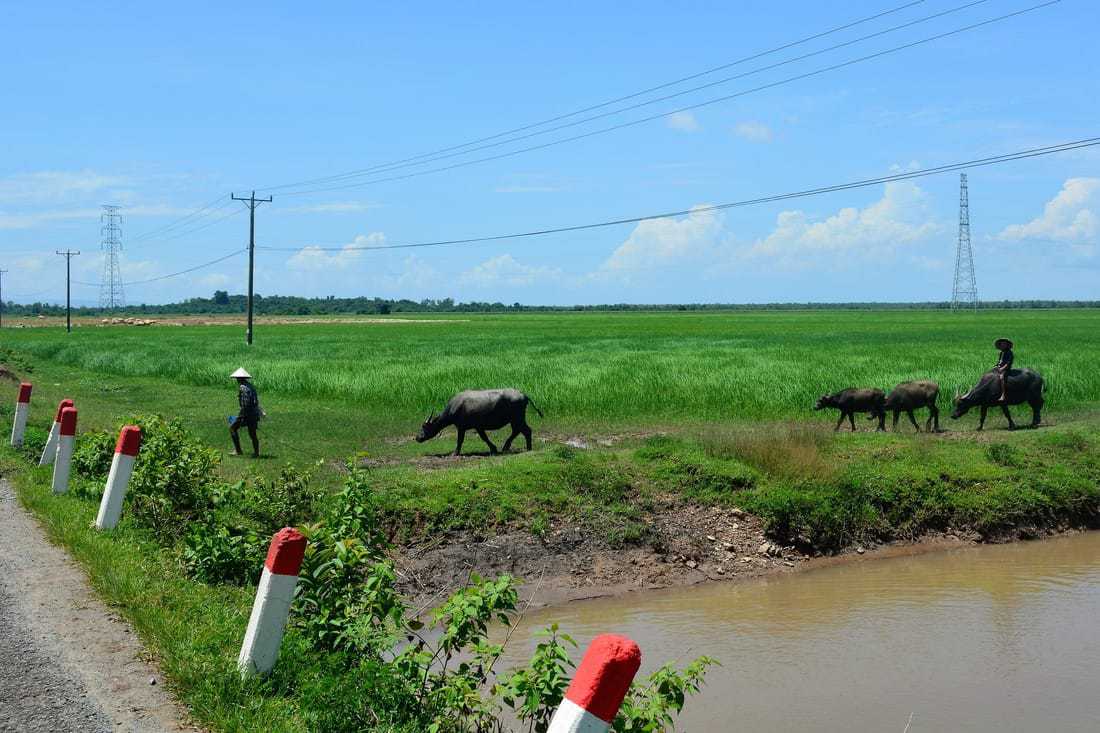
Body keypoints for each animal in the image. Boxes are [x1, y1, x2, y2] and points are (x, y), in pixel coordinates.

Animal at [415, 385, 545, 453]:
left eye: (424, 427)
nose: (417, 437)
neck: (455, 407)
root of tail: (523, 395)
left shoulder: (461, 427)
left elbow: (460, 440)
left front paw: (455, 452)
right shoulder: (478, 427)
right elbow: (484, 438)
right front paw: (493, 449)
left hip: (517, 418)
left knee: (525, 431)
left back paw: (524, 448)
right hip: (515, 420)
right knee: (518, 431)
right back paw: (510, 447)